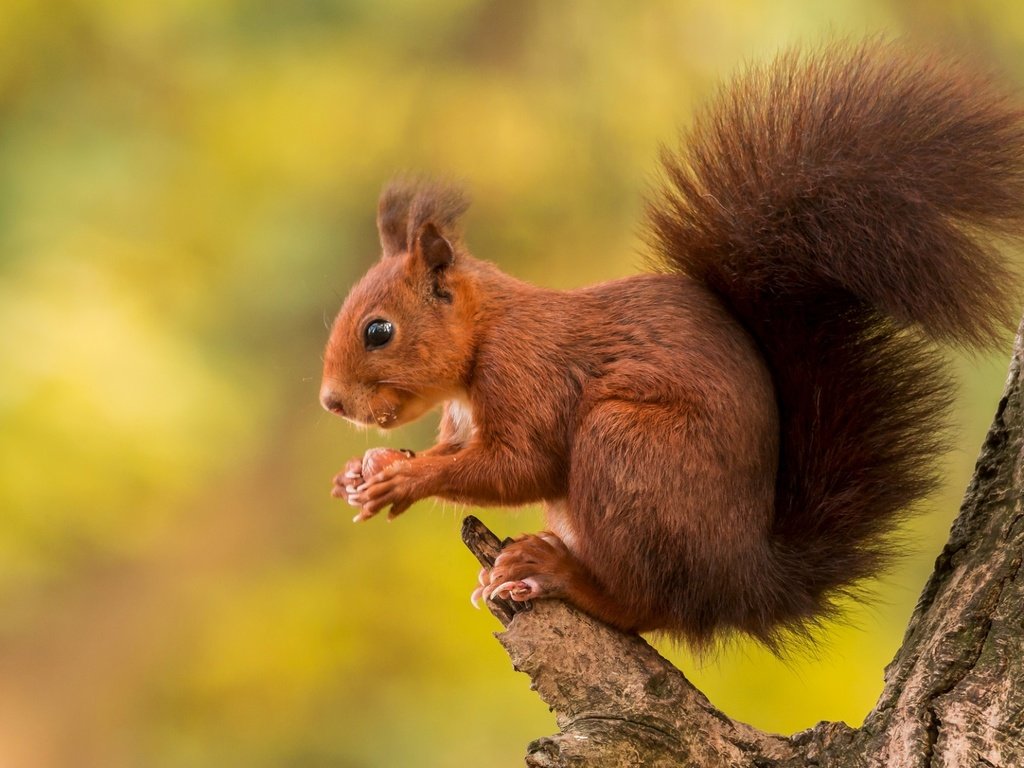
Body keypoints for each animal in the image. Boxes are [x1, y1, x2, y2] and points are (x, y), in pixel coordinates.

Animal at [319, 39, 1024, 647]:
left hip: (629, 450)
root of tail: (741, 582)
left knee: (643, 606)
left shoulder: (527, 373)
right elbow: (459, 450)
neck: (485, 334)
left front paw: (403, 479)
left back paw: (558, 573)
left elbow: (521, 464)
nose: (331, 402)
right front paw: (365, 468)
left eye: (378, 331)